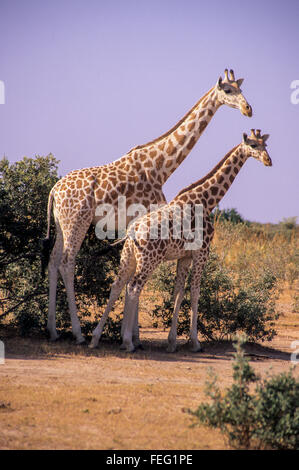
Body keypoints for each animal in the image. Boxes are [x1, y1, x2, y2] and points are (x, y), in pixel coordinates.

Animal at [42, 68, 253, 344]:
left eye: (241, 89)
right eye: (228, 90)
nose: (248, 109)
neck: (161, 166)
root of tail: (54, 190)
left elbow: (130, 279)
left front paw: (132, 336)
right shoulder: (146, 220)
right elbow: (136, 281)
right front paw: (133, 337)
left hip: (61, 224)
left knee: (53, 261)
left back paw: (53, 330)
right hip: (77, 221)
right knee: (67, 263)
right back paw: (78, 333)